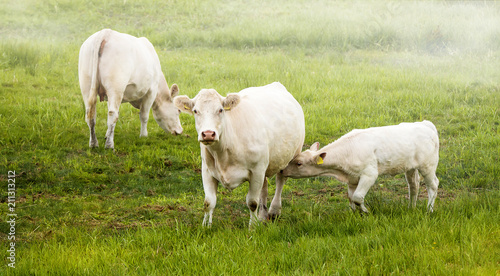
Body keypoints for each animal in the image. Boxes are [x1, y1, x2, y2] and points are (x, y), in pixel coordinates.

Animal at [174, 82, 306, 226]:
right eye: (195, 111)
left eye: (220, 110)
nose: (208, 134)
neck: (223, 153)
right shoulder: (207, 171)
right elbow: (208, 202)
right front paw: (205, 226)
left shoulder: (257, 170)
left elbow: (252, 202)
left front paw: (253, 227)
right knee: (264, 187)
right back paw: (262, 215)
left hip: (290, 155)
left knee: (280, 180)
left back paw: (274, 211)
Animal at [284, 119, 440, 212]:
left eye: (299, 163)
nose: (282, 171)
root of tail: (425, 124)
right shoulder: (352, 179)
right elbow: (351, 199)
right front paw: (357, 215)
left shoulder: (369, 174)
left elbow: (358, 197)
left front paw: (366, 211)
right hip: (410, 167)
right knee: (414, 186)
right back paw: (411, 208)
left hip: (428, 165)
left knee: (433, 185)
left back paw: (429, 210)